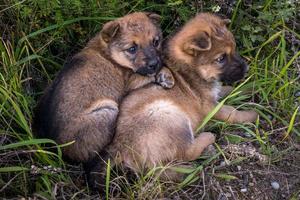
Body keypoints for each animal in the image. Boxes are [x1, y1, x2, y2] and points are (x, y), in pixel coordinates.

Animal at [107, 13, 258, 180]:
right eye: (221, 59)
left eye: (234, 49)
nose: (246, 69)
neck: (191, 69)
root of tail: (123, 150)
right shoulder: (210, 107)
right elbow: (233, 113)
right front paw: (252, 115)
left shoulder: (214, 94)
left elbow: (227, 90)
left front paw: (248, 89)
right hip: (171, 116)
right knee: (187, 152)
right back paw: (207, 138)